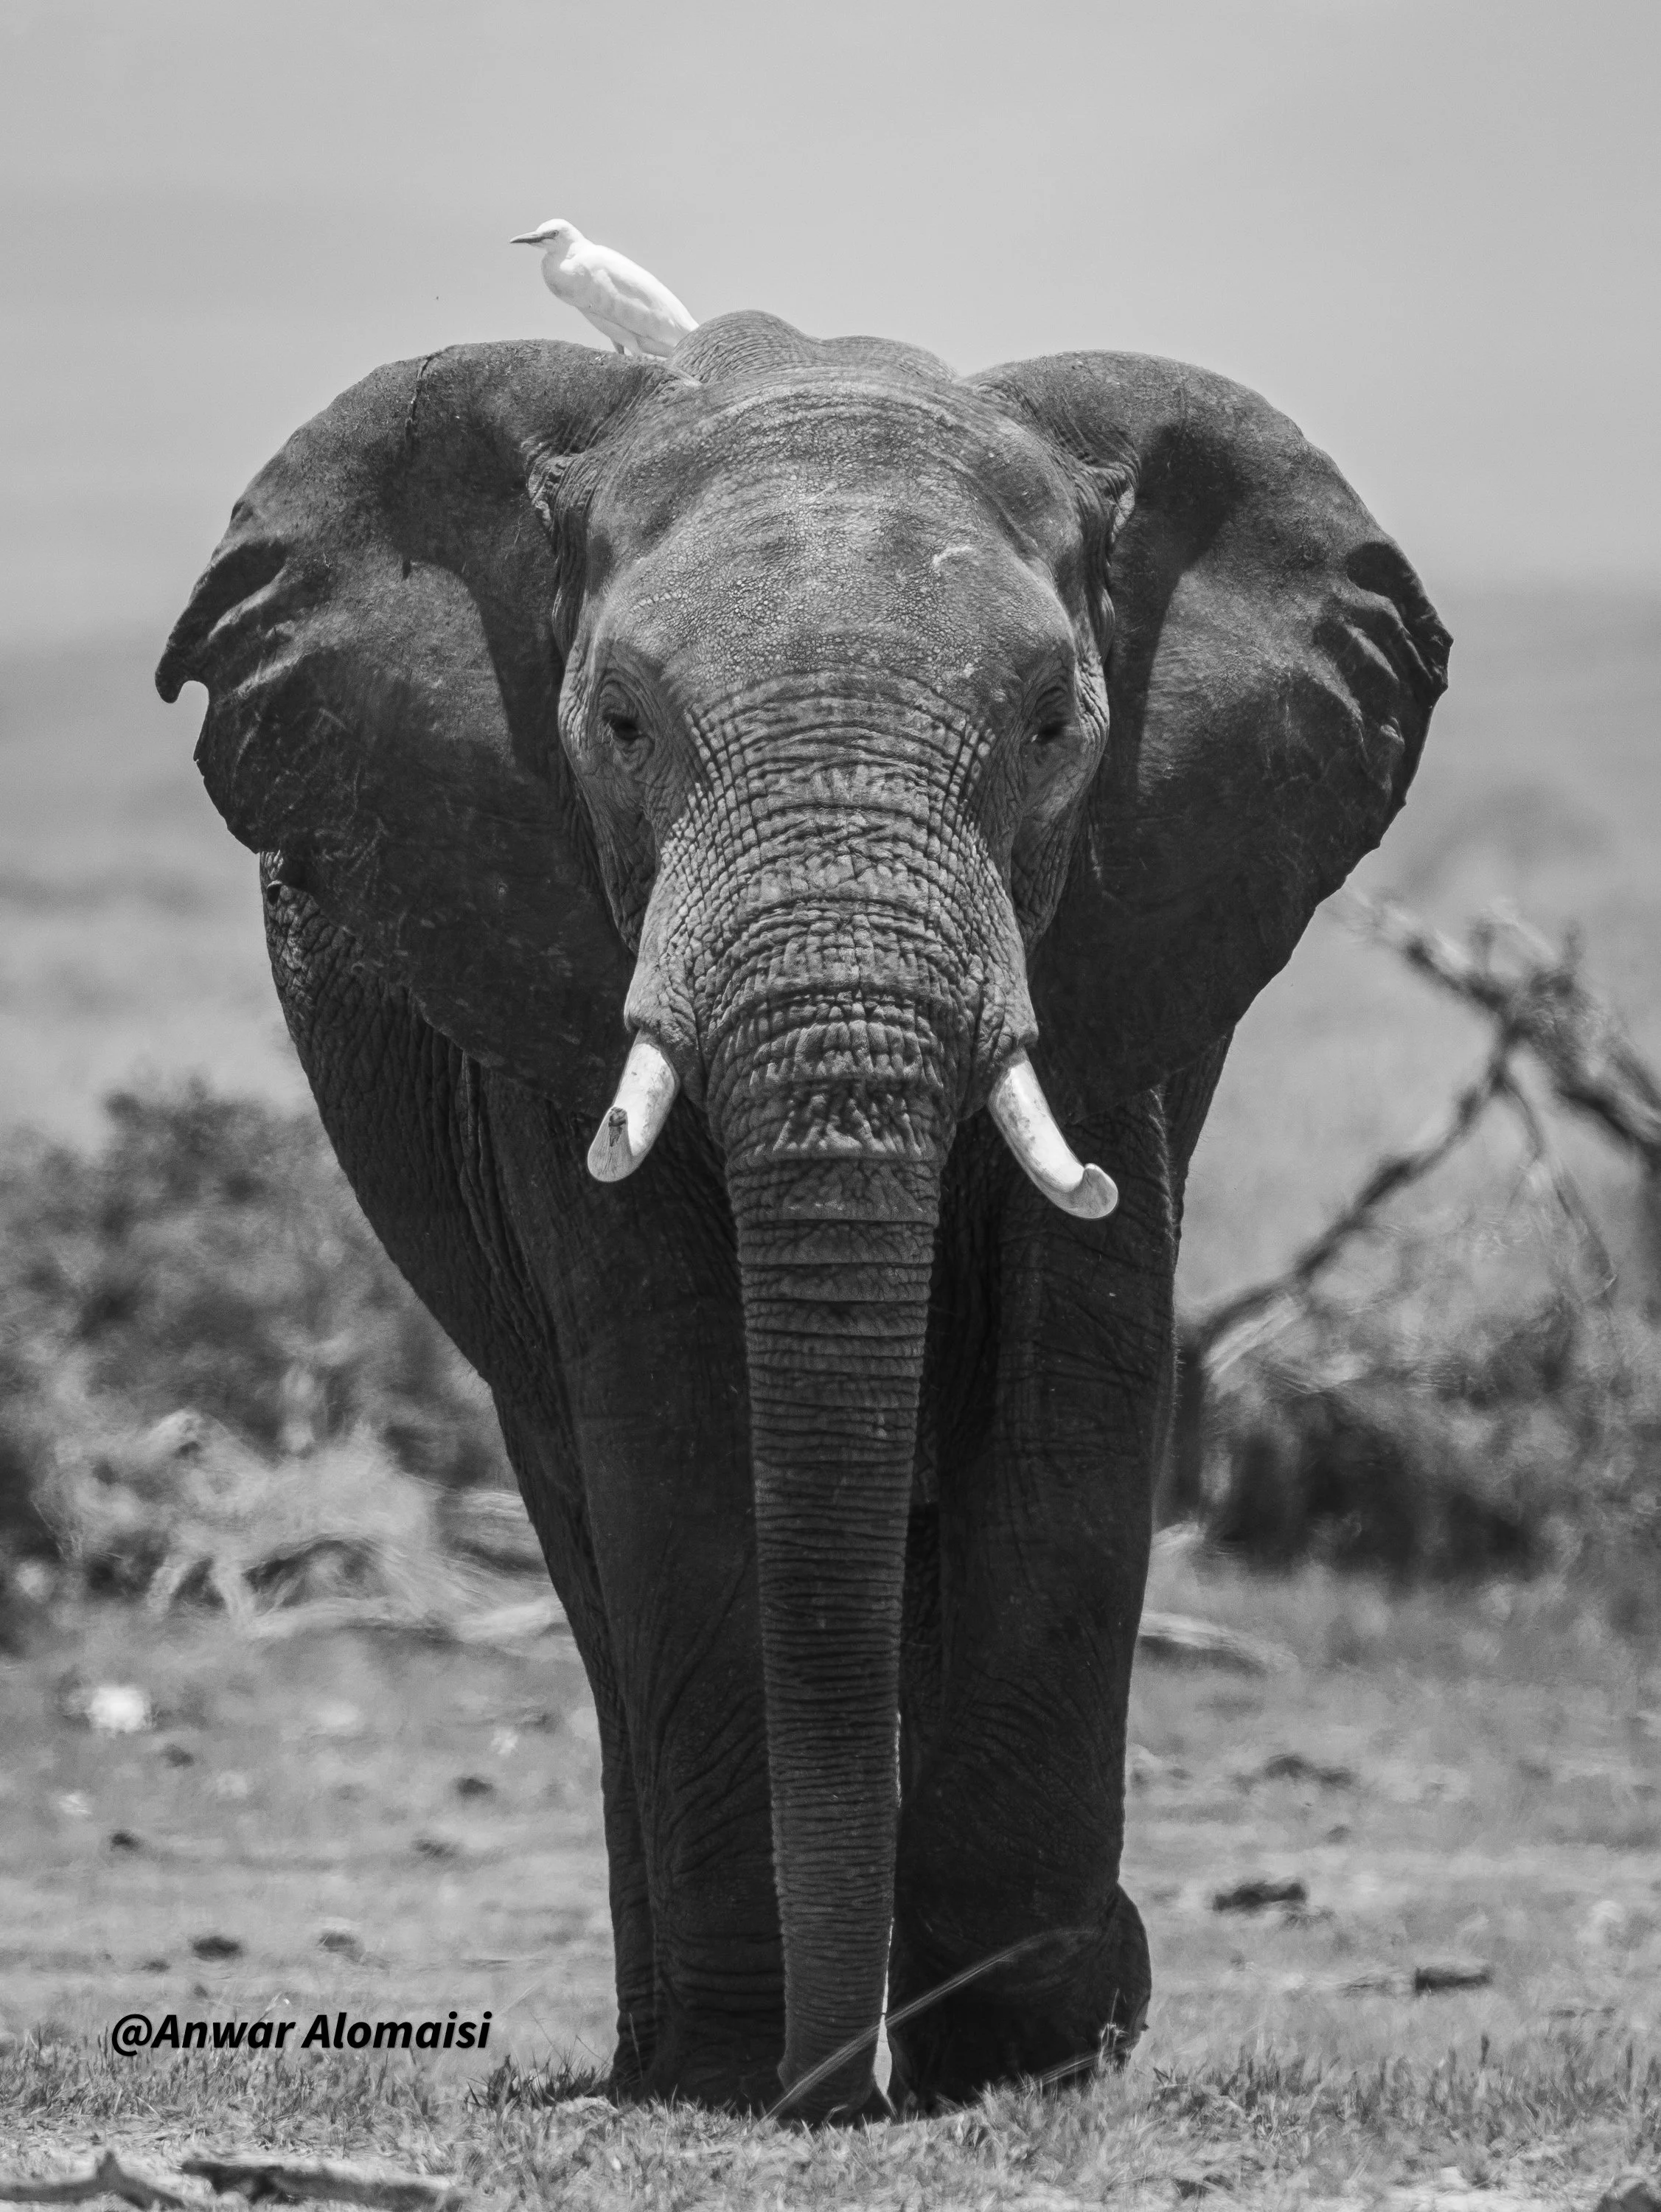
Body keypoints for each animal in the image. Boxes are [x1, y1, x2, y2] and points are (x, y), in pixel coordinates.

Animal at [156, 310, 1448, 2120]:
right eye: (620, 724)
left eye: (1052, 725)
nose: (831, 2092)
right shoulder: (548, 953)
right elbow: (682, 1433)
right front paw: (740, 2070)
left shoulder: (1120, 953)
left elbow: (1067, 1411)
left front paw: (1024, 2055)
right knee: (590, 1529)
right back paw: (668, 2048)